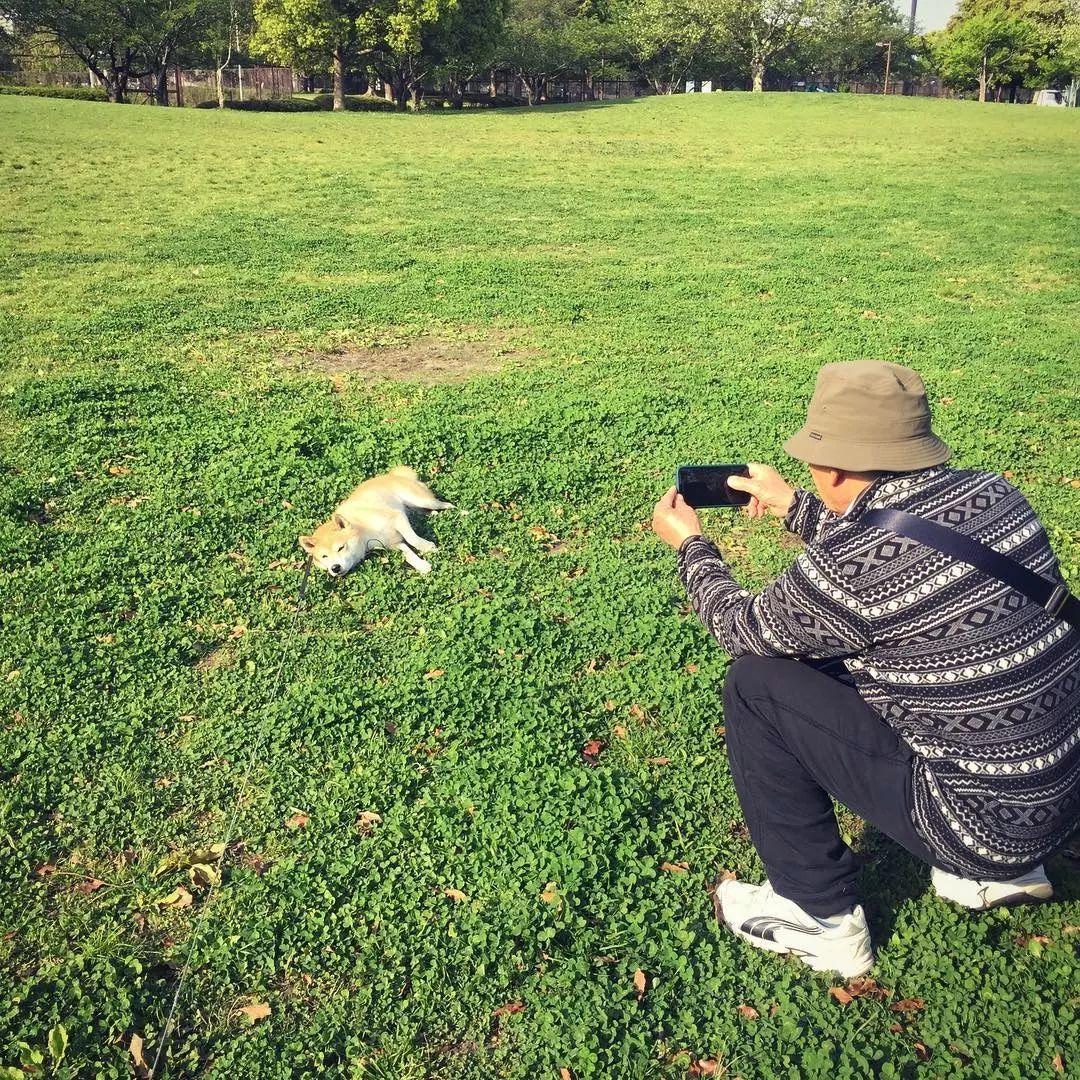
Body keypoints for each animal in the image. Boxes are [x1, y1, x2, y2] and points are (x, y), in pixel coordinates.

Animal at [298, 468, 453, 578]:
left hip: (422, 500)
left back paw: (456, 512)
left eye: (341, 548)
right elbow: (408, 554)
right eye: (324, 557)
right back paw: (435, 515)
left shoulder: (397, 517)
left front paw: (427, 547)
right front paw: (421, 565)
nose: (334, 568)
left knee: (446, 504)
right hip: (415, 508)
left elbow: (412, 539)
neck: (363, 532)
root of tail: (393, 474)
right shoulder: (393, 543)